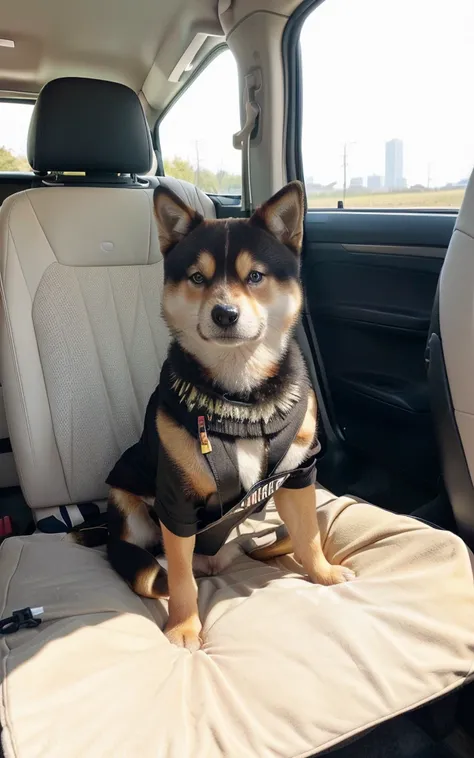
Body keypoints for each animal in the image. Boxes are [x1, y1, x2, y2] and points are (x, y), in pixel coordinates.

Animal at [95, 181, 352, 652]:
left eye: (256, 276)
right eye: (198, 277)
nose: (225, 313)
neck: (242, 396)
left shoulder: (301, 472)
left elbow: (308, 534)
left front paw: (322, 573)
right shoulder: (177, 499)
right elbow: (180, 578)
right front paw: (184, 627)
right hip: (125, 507)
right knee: (152, 570)